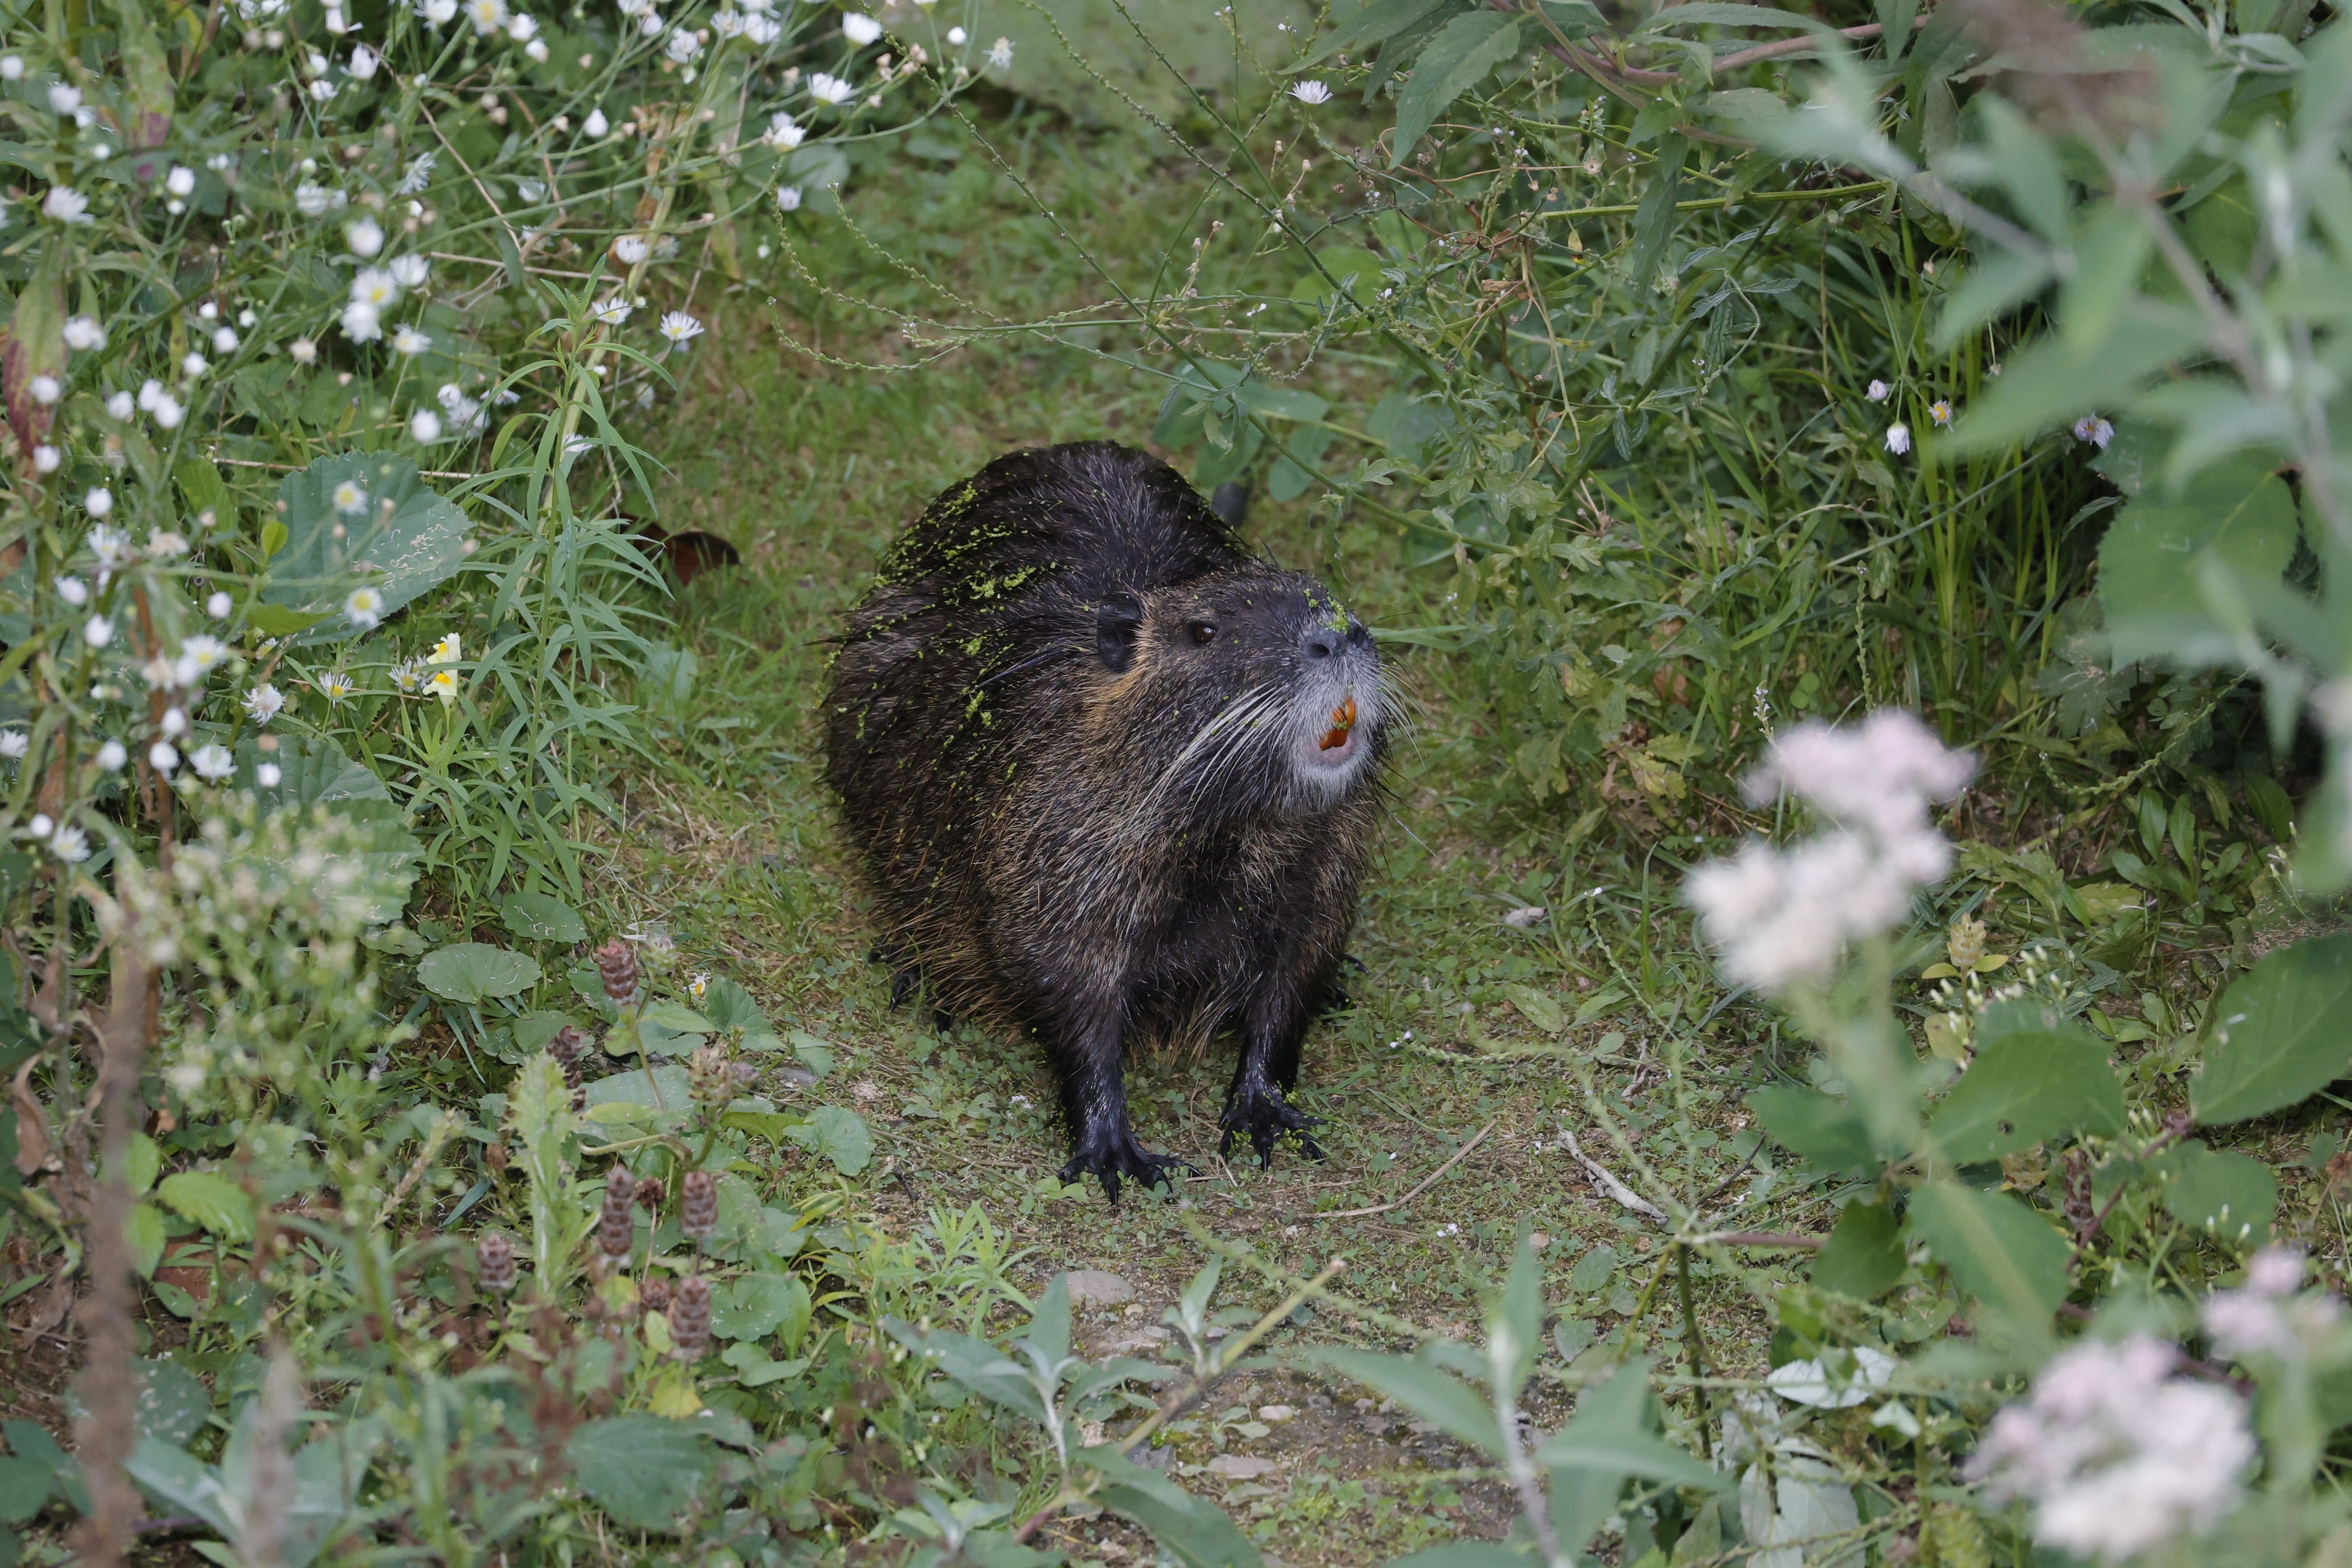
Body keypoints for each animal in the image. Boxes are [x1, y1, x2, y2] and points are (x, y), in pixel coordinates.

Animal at [823, 442, 1388, 1198]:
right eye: (1203, 630)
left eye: (1325, 596)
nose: (1338, 636)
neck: (1234, 835)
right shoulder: (1054, 854)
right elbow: (1065, 990)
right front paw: (1115, 1153)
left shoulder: (1324, 873)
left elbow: (1291, 983)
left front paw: (1267, 1113)